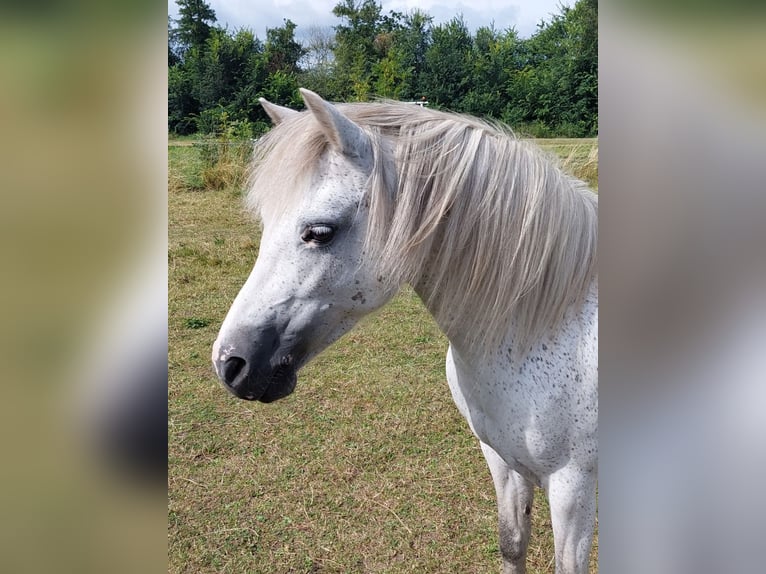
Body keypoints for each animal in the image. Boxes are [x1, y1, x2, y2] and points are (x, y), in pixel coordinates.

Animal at [214, 90, 600, 574]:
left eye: (320, 232)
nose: (230, 362)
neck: (545, 322)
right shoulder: (501, 461)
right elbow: (512, 544)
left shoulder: (573, 487)